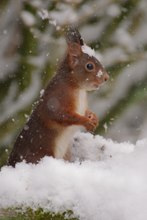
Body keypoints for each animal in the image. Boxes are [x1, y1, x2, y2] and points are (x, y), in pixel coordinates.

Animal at [8, 26, 109, 167]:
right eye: (89, 66)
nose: (106, 78)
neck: (77, 88)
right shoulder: (56, 101)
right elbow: (63, 116)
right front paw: (86, 122)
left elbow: (85, 111)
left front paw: (93, 117)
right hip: (43, 154)